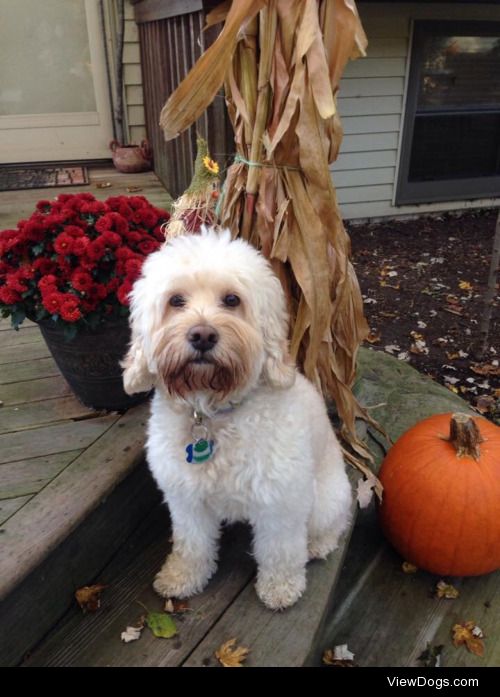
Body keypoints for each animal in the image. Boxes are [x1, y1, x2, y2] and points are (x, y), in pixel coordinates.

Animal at [123, 230, 352, 608]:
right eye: (176, 301)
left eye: (232, 300)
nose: (202, 335)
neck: (212, 413)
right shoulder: (186, 498)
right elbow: (191, 543)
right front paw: (182, 577)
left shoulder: (281, 501)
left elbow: (280, 549)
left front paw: (280, 587)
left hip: (324, 498)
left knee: (333, 523)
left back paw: (317, 544)